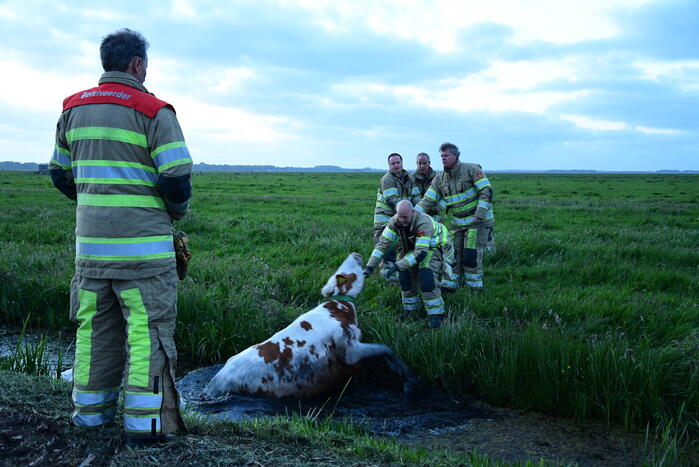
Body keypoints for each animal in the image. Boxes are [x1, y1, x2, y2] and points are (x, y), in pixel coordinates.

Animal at [203, 252, 416, 399]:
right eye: (348, 272)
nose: (355, 254)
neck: (339, 308)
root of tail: (214, 384)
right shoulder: (351, 350)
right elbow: (385, 349)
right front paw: (405, 376)